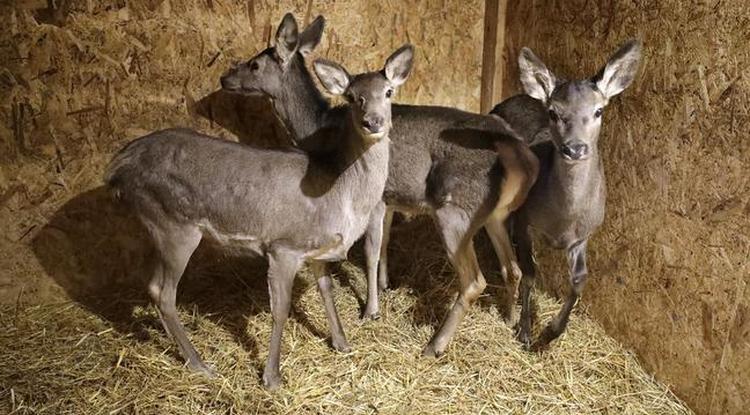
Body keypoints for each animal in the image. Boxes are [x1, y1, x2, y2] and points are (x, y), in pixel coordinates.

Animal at [220, 13, 536, 358]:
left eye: (254, 64)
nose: (224, 79)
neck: (315, 131)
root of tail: (520, 155)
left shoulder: (374, 198)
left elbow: (370, 249)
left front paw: (371, 309)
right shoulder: (391, 198)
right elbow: (383, 243)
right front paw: (385, 286)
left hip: (455, 210)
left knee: (474, 280)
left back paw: (435, 344)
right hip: (495, 214)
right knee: (512, 267)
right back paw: (509, 318)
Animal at [490, 39, 644, 352]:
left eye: (599, 111)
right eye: (554, 112)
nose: (575, 148)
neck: (562, 219)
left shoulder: (584, 234)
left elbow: (579, 280)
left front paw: (551, 331)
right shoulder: (525, 220)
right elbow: (530, 273)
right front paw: (525, 332)